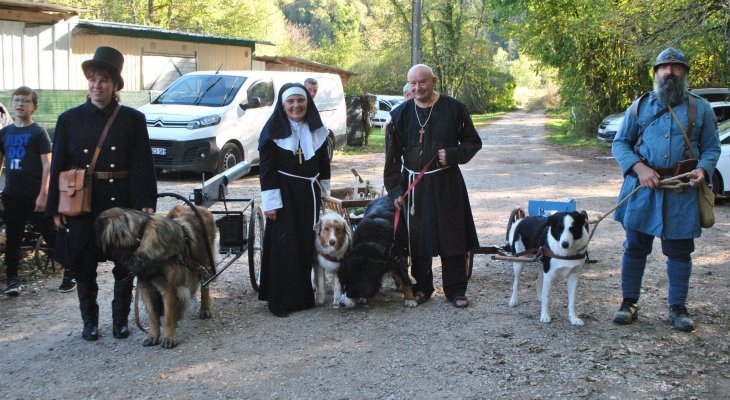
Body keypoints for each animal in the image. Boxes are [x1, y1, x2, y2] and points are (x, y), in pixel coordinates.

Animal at [96, 205, 216, 348]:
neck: (140, 239)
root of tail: (200, 207)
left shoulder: (168, 290)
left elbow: (168, 317)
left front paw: (169, 338)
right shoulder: (146, 287)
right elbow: (153, 317)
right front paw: (152, 337)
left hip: (204, 265)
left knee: (205, 286)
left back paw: (204, 309)